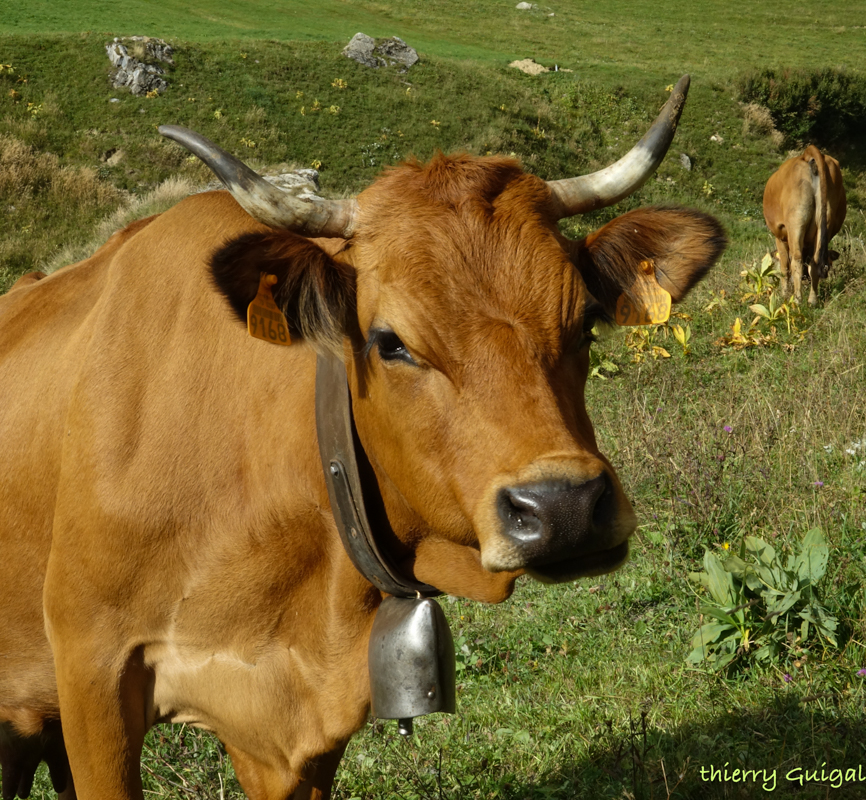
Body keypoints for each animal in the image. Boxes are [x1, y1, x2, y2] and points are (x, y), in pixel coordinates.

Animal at [764, 144, 844, 306]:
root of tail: (807, 154)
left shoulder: (780, 236)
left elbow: (784, 267)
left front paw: (784, 295)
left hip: (796, 221)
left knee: (797, 261)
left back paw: (797, 300)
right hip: (825, 220)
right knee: (815, 262)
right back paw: (812, 301)